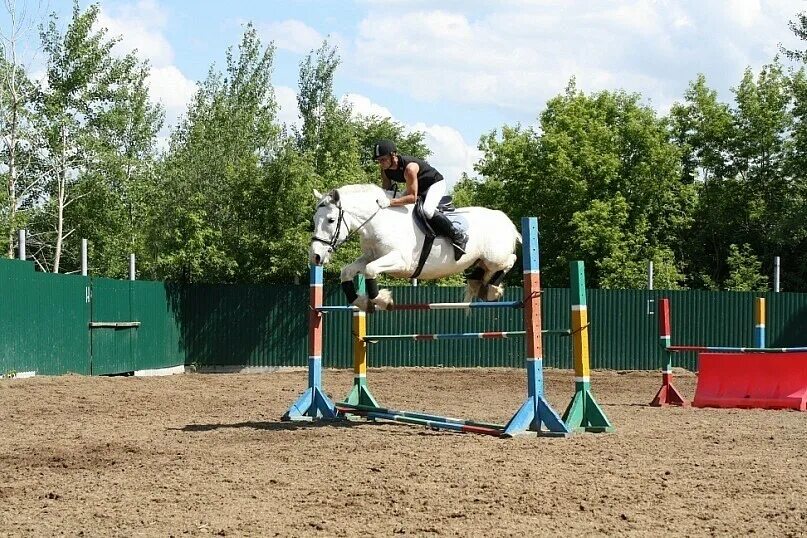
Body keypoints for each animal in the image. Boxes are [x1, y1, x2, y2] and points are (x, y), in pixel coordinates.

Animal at [310, 183, 524, 310]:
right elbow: (347, 272)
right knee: (484, 270)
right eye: (314, 220)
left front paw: (382, 300)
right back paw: (480, 283)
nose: (316, 257)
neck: (378, 221)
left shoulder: (400, 262)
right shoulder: (371, 257)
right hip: (484, 260)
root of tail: (506, 220)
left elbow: (370, 270)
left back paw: (492, 290)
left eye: (330, 220)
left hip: (495, 257)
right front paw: (363, 302)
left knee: (509, 261)